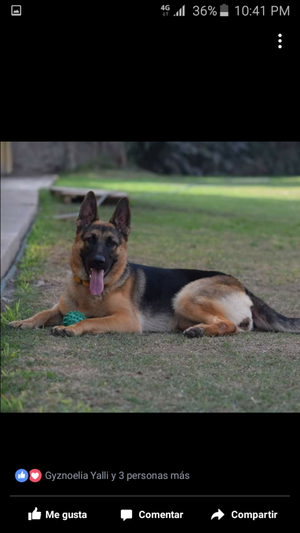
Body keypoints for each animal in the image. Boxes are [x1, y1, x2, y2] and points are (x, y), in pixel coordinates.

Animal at [9, 192, 300, 336]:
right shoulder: (59, 308)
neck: (91, 293)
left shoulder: (126, 320)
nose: (99, 262)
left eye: (111, 243)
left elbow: (90, 322)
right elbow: (43, 313)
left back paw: (200, 331)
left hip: (186, 296)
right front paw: (24, 321)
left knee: (230, 326)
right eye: (90, 240)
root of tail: (243, 286)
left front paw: (71, 328)